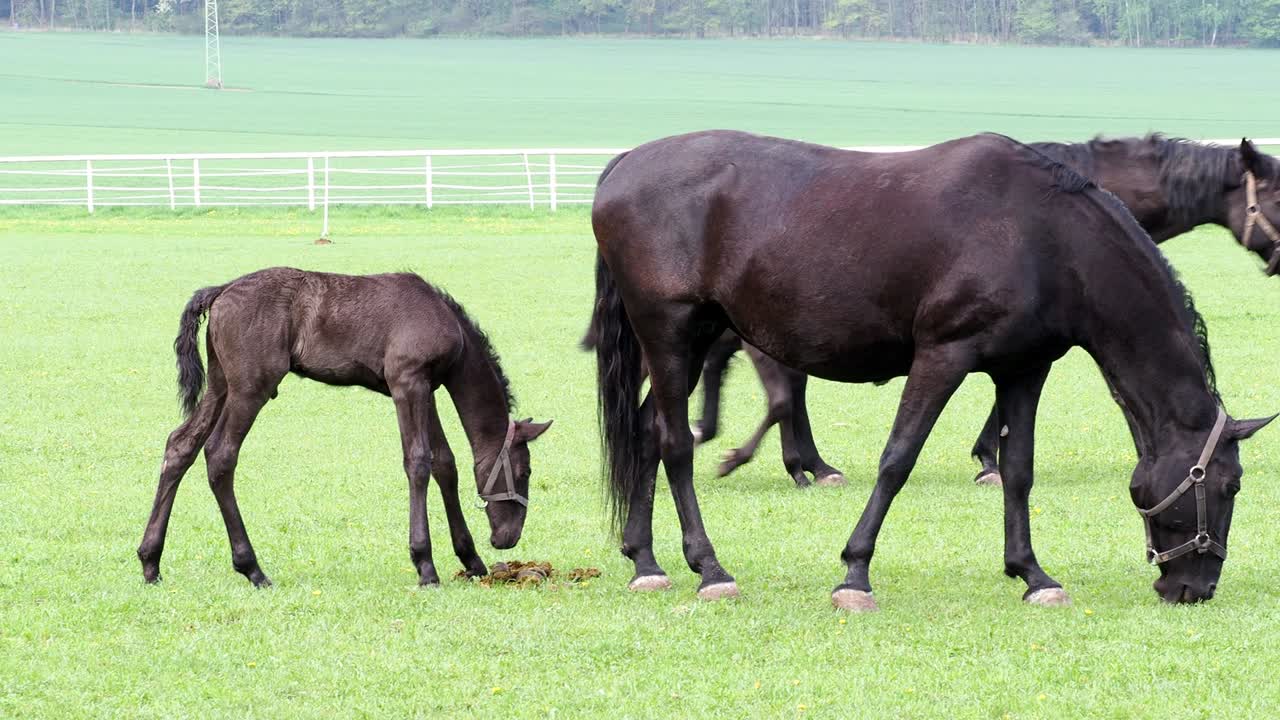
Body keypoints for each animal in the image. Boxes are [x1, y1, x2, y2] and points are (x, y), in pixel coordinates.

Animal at [136, 267, 551, 587]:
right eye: (524, 471)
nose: (508, 538)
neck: (449, 325)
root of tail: (220, 291)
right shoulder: (407, 383)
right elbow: (418, 462)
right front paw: (425, 565)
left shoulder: (426, 387)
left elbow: (444, 464)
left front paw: (471, 560)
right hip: (250, 388)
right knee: (220, 455)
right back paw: (252, 568)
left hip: (222, 383)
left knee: (181, 445)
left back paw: (150, 561)